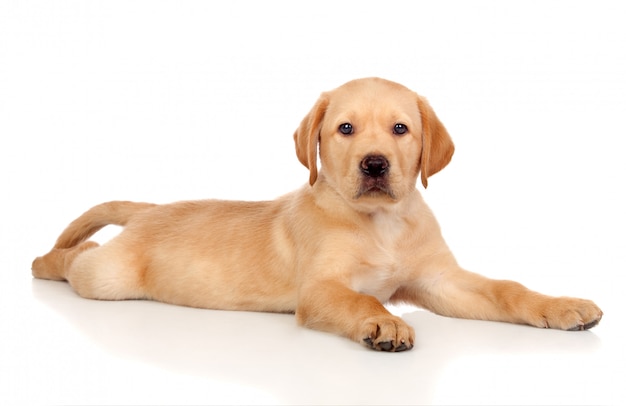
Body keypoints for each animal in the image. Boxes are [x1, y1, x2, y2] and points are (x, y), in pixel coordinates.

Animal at [33, 77, 600, 350]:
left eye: (400, 129)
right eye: (345, 129)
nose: (375, 164)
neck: (382, 223)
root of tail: (151, 210)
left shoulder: (442, 281)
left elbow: (508, 289)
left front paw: (562, 306)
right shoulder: (322, 288)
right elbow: (360, 300)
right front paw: (384, 323)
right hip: (108, 278)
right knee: (79, 258)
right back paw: (44, 260)